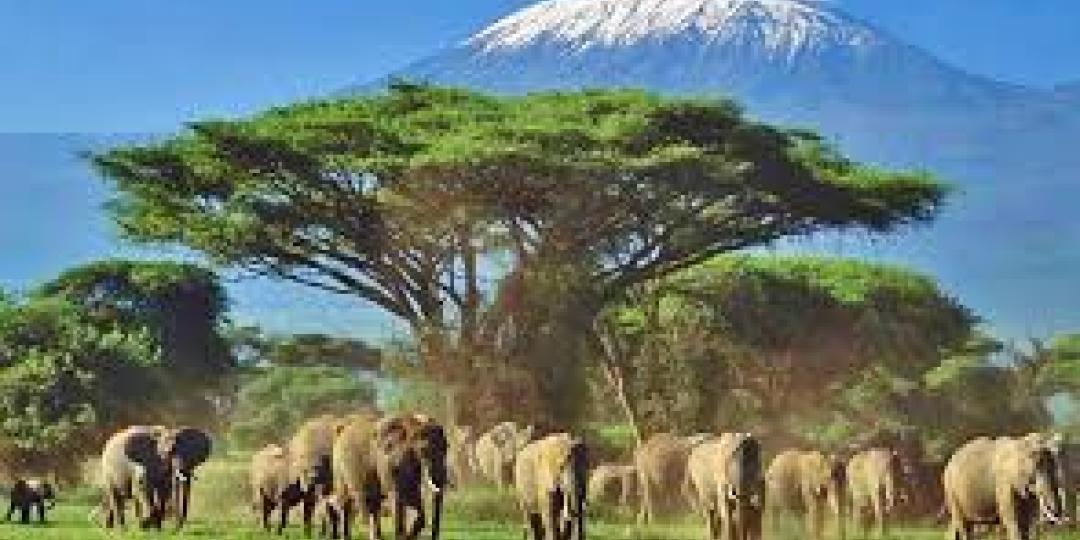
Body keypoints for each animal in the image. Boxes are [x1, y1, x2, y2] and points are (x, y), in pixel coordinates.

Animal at [371, 412, 447, 540]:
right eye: (424, 450)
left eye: (446, 448)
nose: (433, 536)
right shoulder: (395, 463)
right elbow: (398, 497)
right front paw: (404, 536)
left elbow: (415, 499)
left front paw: (409, 536)